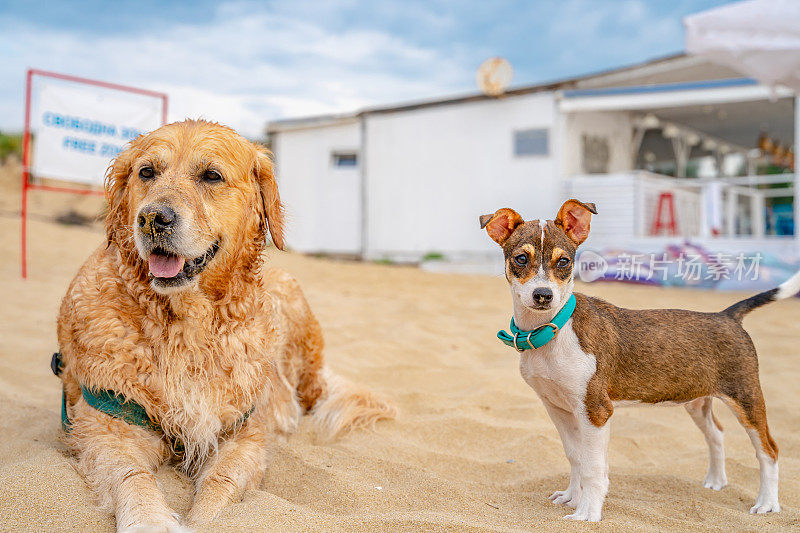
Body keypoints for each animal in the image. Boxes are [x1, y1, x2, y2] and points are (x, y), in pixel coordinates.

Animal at [55, 118, 394, 528]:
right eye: (146, 172)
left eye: (211, 176)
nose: (153, 218)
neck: (186, 325)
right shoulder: (109, 422)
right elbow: (131, 476)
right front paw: (151, 520)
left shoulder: (241, 432)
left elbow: (220, 484)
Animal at [478, 198, 792, 520]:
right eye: (520, 259)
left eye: (563, 262)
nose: (543, 295)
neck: (553, 330)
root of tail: (727, 316)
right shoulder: (559, 408)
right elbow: (576, 457)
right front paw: (572, 497)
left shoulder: (596, 411)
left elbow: (593, 468)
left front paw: (587, 512)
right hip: (696, 401)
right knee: (716, 434)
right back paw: (716, 481)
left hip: (746, 399)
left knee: (769, 450)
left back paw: (767, 503)